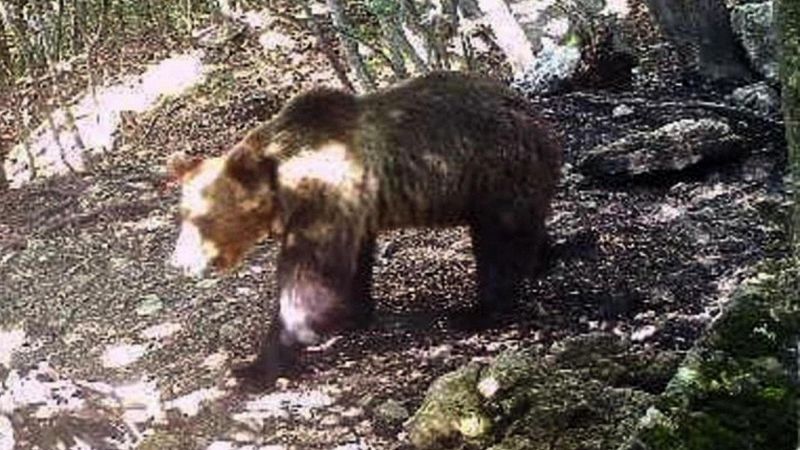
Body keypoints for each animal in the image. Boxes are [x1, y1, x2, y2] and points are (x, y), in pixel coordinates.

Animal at [168, 71, 562, 385]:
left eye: (202, 218)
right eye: (183, 214)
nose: (179, 262)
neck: (284, 186)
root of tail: (536, 116)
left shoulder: (323, 198)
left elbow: (309, 278)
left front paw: (259, 364)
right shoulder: (353, 210)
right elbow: (352, 264)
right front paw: (352, 313)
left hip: (492, 172)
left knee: (500, 244)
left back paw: (477, 312)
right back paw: (547, 258)